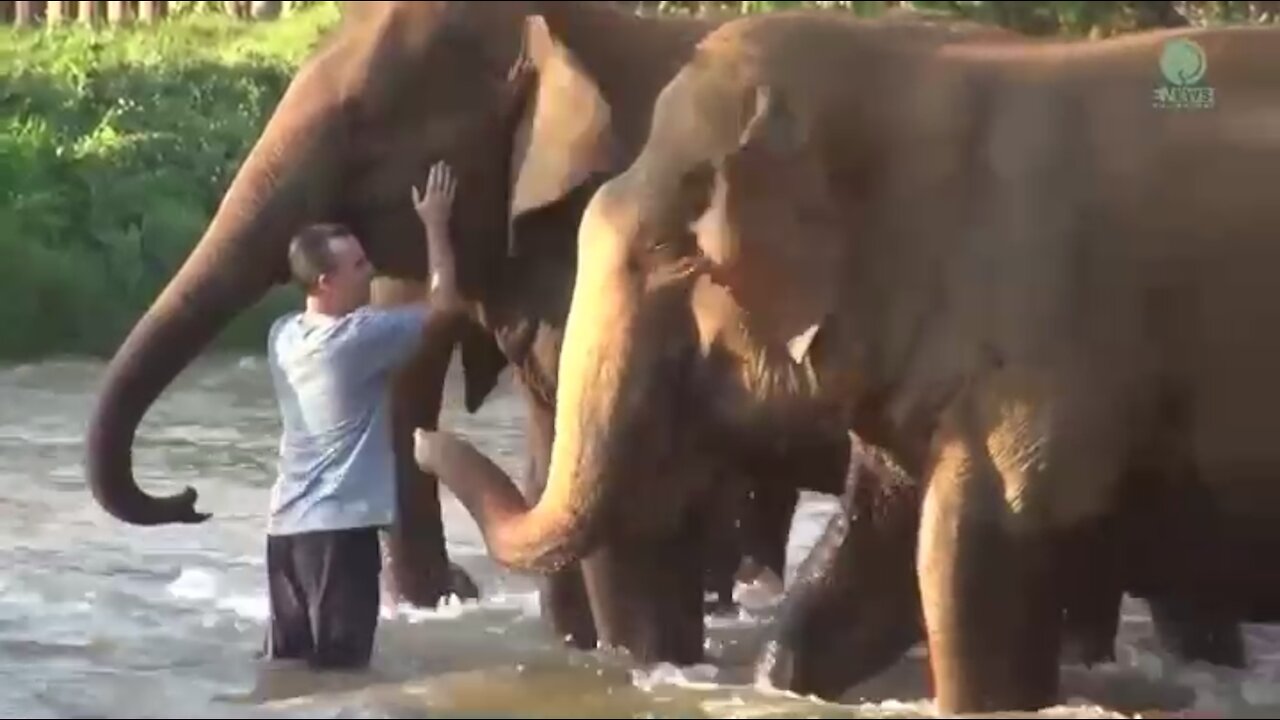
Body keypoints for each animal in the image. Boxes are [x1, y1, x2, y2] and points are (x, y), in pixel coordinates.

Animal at [409, 9, 1280, 712]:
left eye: (668, 255)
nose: (424, 439)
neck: (908, 70)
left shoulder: (1047, 337)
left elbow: (969, 562)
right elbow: (869, 561)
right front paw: (779, 683)